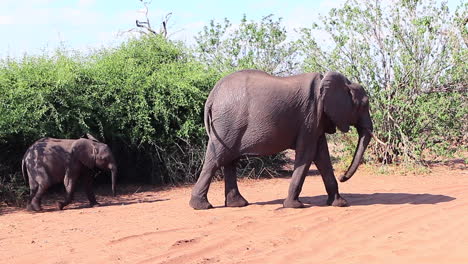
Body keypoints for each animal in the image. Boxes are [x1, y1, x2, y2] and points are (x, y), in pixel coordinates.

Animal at [190, 69, 376, 209]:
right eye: (364, 105)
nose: (343, 177)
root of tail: (212, 97)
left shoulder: (317, 119)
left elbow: (322, 156)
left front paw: (340, 203)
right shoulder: (310, 115)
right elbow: (307, 154)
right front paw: (295, 206)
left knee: (229, 161)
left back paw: (238, 204)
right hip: (228, 123)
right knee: (216, 160)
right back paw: (201, 206)